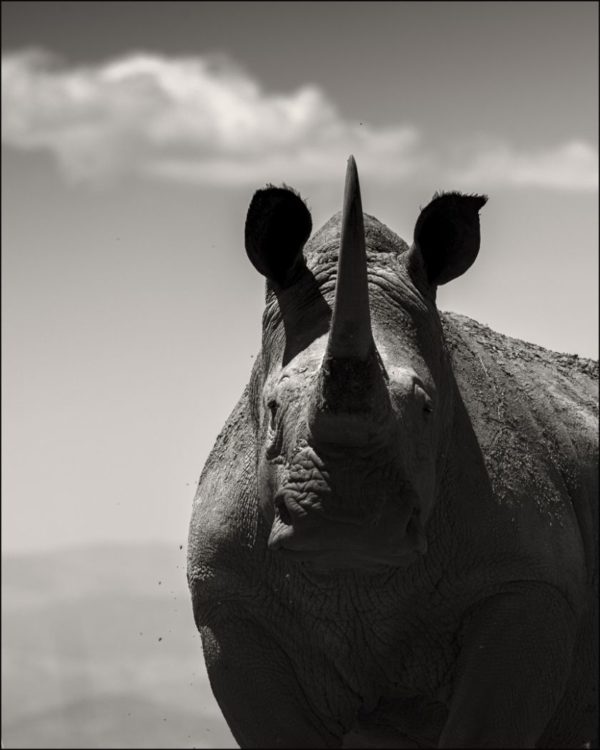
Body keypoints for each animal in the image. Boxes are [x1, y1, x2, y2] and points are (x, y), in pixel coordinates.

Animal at [186, 156, 596, 748]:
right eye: (272, 407)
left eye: (425, 407)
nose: (347, 522)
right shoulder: (230, 601)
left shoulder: (525, 581)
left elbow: (482, 725)